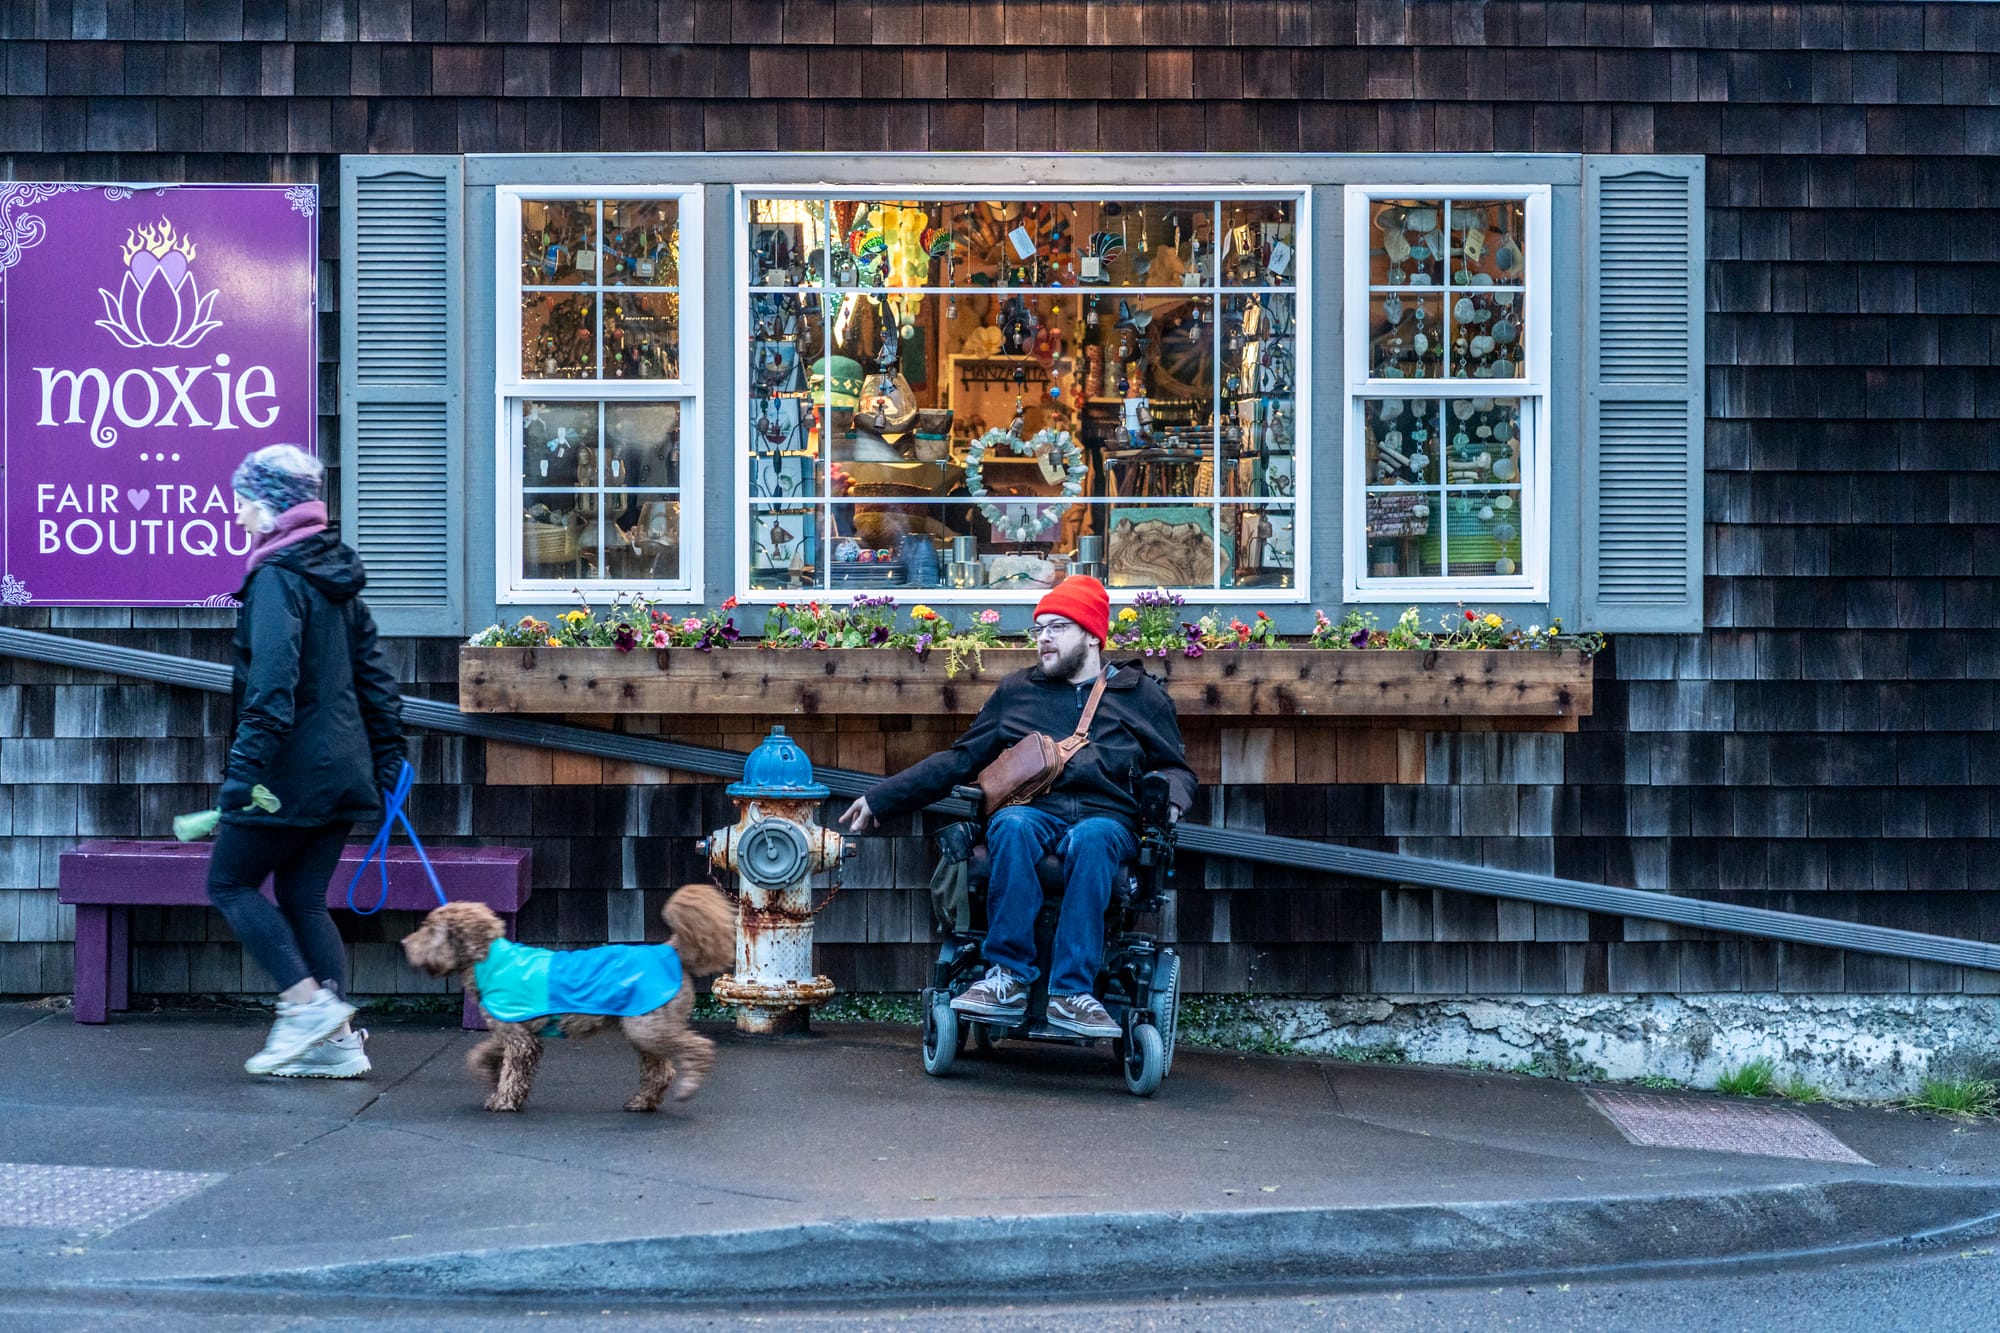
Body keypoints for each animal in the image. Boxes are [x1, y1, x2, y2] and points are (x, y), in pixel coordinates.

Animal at [398, 880, 736, 1112]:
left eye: (428, 928)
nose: (404, 943)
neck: (489, 960)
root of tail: (671, 950)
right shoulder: (511, 1031)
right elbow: (483, 1055)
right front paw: (489, 1075)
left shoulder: (520, 1041)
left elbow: (513, 1072)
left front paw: (503, 1100)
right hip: (644, 1029)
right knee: (661, 1071)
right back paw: (641, 1101)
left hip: (649, 1027)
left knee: (698, 1048)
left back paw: (688, 1086)